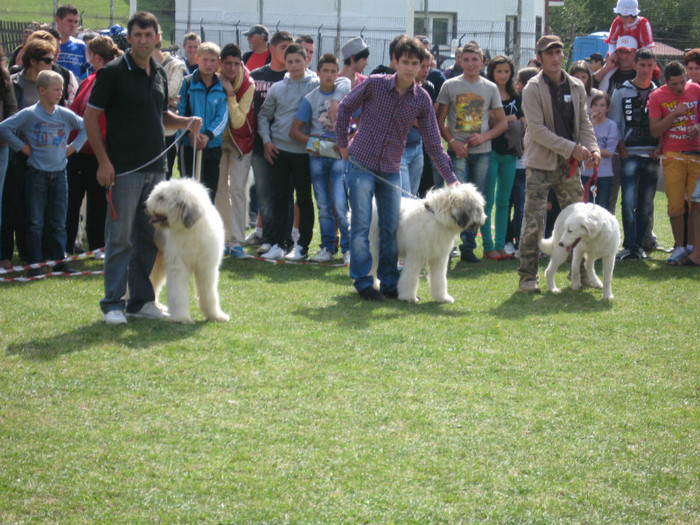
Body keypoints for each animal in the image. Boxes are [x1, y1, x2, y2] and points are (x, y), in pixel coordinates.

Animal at [145, 178, 230, 322]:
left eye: (161, 197)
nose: (144, 206)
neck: (191, 230)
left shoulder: (207, 267)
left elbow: (209, 292)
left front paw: (216, 315)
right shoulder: (178, 266)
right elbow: (178, 292)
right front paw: (181, 317)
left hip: (160, 262)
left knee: (154, 281)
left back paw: (157, 306)